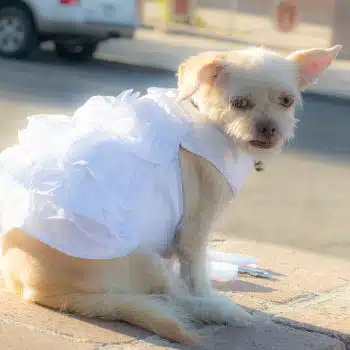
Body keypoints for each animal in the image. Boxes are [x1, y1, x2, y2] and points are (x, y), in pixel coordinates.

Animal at [0, 43, 340, 344]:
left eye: (287, 101)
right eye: (239, 103)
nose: (269, 128)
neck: (208, 121)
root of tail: (38, 292)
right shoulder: (193, 233)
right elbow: (197, 277)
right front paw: (208, 296)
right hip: (146, 260)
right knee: (175, 298)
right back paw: (219, 310)